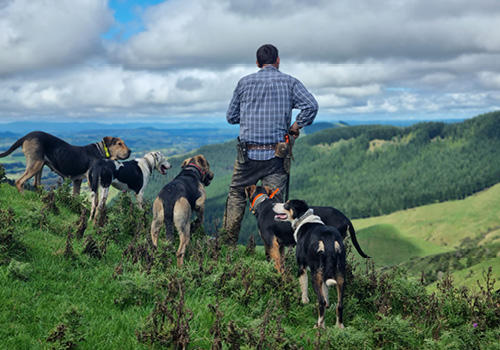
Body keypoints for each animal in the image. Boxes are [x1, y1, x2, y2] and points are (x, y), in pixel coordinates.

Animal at [0, 131, 131, 194]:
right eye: (119, 144)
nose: (130, 151)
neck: (100, 151)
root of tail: (26, 136)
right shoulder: (90, 181)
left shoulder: (77, 181)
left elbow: (76, 197)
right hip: (35, 164)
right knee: (19, 181)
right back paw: (23, 195)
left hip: (40, 165)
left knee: (36, 184)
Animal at [274, 198, 348, 330]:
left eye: (286, 204)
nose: (273, 204)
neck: (304, 219)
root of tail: (328, 241)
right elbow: (326, 294)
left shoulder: (301, 268)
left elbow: (304, 288)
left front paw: (304, 302)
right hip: (340, 275)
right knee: (339, 304)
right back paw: (339, 327)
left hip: (315, 275)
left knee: (321, 302)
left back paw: (319, 326)